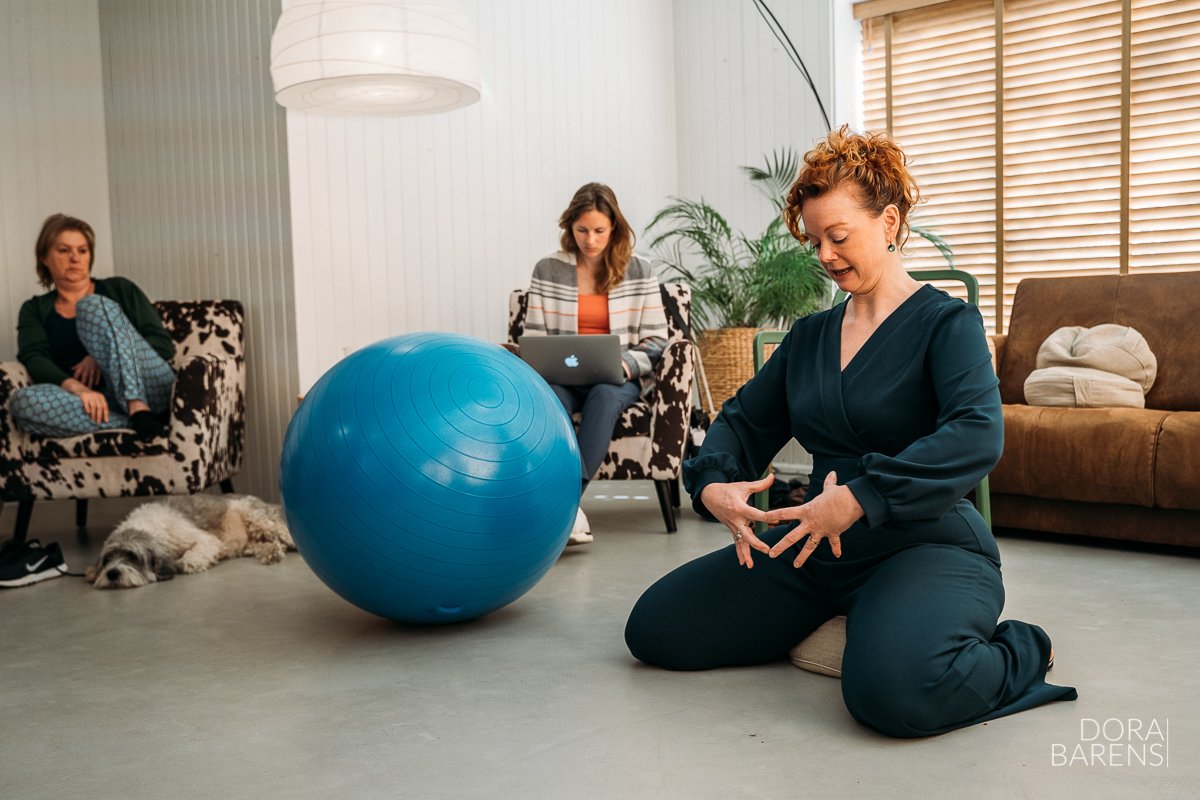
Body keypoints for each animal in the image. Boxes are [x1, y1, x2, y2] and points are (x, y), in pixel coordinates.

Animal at [86, 494, 295, 587]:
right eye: (108, 559)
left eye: (132, 556)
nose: (112, 573)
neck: (149, 527)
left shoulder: (204, 539)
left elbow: (186, 560)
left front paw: (188, 563)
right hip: (251, 542)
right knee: (273, 544)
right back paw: (272, 553)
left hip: (256, 517)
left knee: (283, 533)